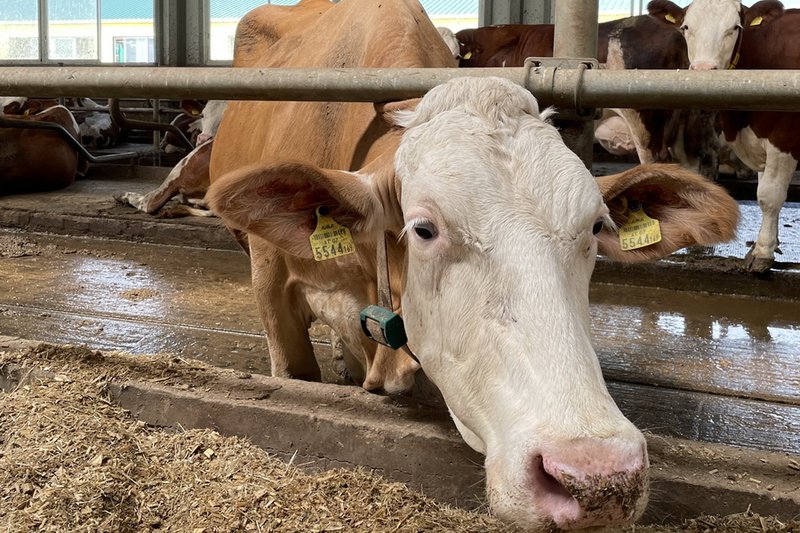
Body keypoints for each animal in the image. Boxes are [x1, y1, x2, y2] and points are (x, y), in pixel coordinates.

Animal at [648, 0, 800, 272]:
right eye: (686, 27)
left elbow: (769, 196)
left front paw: (762, 252)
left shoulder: (783, 139)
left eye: (735, 27)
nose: (704, 70)